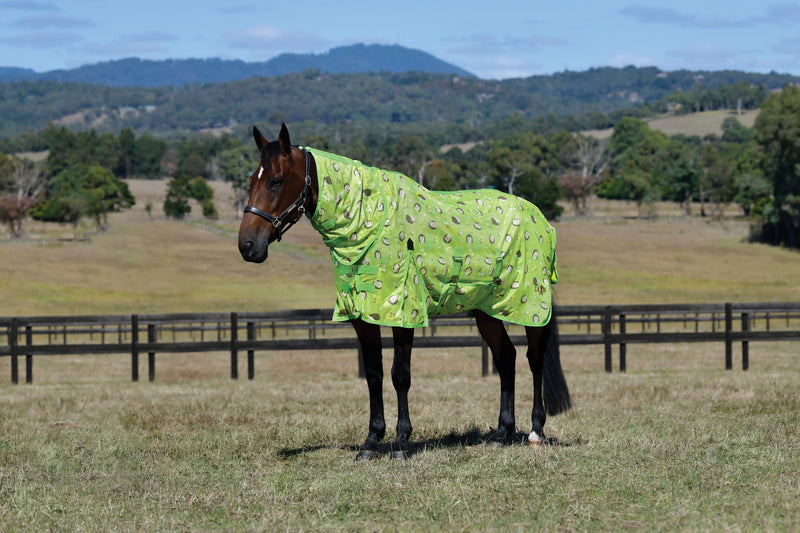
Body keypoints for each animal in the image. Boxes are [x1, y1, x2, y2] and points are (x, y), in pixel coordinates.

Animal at [238, 123, 572, 460]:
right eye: (252, 180)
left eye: (276, 181)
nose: (247, 245)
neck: (370, 220)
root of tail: (540, 219)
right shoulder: (362, 315)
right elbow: (374, 374)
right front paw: (371, 441)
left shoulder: (403, 311)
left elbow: (400, 375)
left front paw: (400, 441)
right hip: (485, 311)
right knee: (506, 358)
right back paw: (502, 432)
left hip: (531, 307)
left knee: (534, 359)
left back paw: (535, 432)